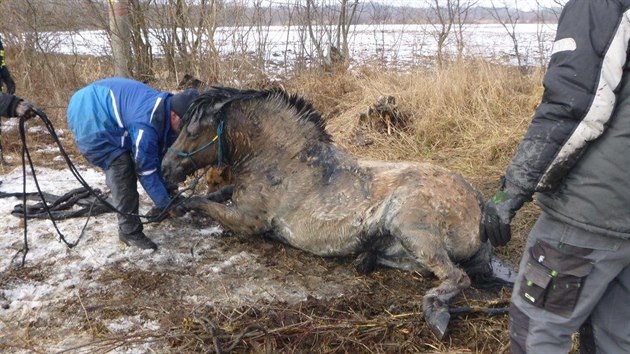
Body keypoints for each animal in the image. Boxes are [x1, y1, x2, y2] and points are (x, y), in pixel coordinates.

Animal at [163, 85, 498, 338]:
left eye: (191, 131)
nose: (165, 168)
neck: (281, 160)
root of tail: (478, 199)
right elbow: (217, 194)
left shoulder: (247, 221)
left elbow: (202, 203)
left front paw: (175, 206)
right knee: (418, 266)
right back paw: (365, 259)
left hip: (411, 228)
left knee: (456, 276)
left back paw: (434, 312)